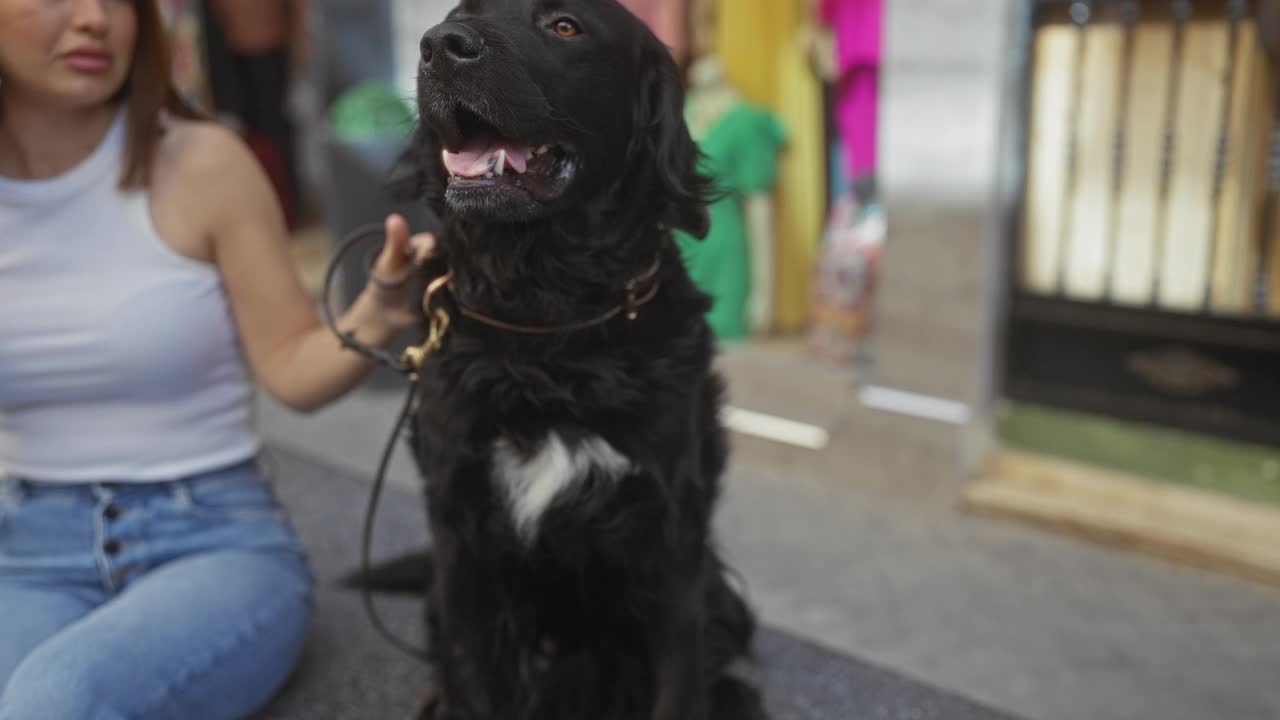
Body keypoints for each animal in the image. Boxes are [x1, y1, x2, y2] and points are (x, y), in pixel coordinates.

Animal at [373, 2, 762, 712]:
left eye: (564, 27)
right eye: (456, 14)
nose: (439, 46)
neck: (546, 327)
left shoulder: (671, 543)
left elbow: (679, 683)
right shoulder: (460, 534)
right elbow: (472, 678)